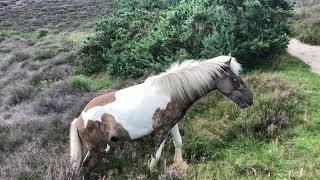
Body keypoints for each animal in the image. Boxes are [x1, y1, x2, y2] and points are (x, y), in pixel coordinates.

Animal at [69, 56, 252, 172]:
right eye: (235, 79)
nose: (250, 100)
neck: (170, 92)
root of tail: (79, 119)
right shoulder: (161, 130)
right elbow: (156, 155)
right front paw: (151, 171)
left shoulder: (173, 124)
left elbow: (178, 142)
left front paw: (179, 165)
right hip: (99, 149)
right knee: (86, 168)